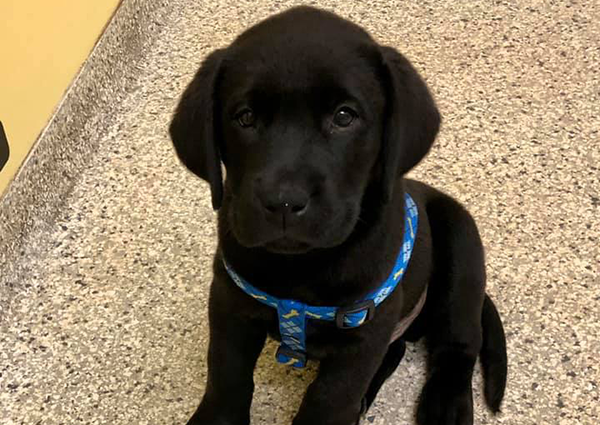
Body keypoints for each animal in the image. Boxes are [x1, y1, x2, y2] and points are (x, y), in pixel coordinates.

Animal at [169, 6, 506, 424]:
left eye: (344, 117)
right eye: (244, 117)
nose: (284, 201)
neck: (300, 270)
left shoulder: (364, 333)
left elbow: (328, 399)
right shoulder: (230, 302)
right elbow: (226, 375)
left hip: (461, 248)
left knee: (459, 344)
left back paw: (446, 406)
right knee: (398, 351)